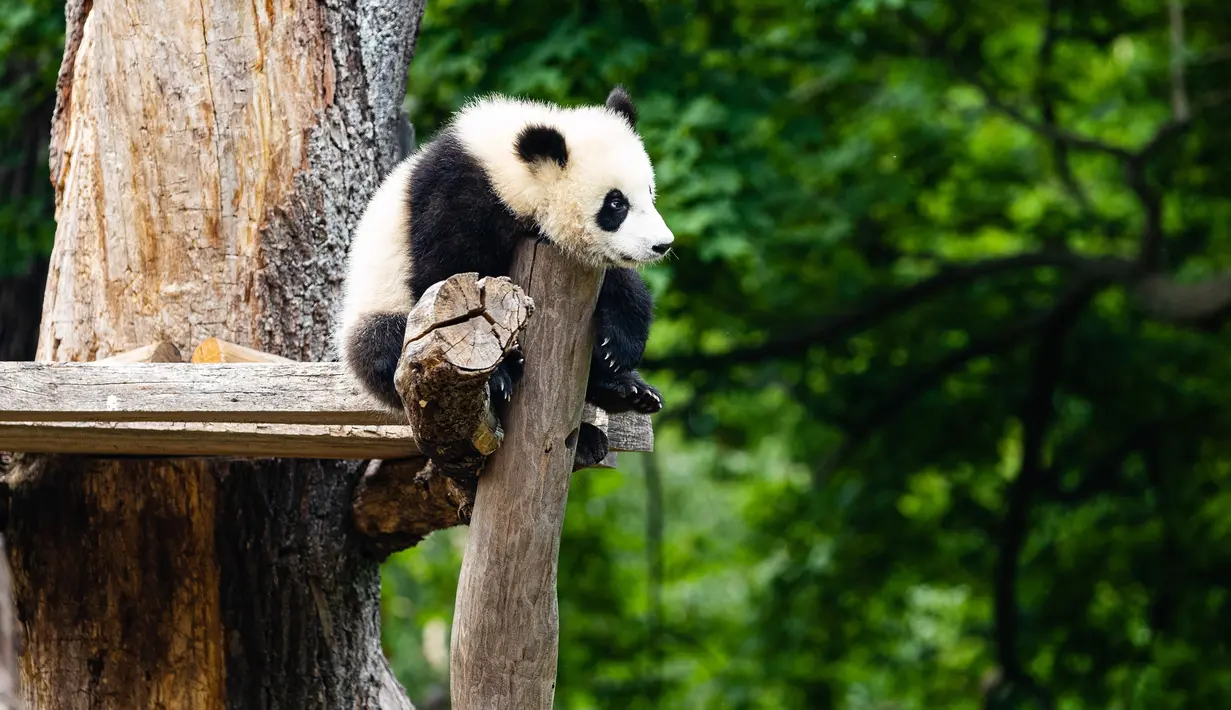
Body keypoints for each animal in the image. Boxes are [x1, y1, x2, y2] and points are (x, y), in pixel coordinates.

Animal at [335, 86, 673, 417]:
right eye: (616, 204)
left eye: (649, 192)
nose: (662, 244)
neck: (508, 172)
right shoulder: (453, 198)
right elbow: (444, 278)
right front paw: (498, 374)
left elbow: (619, 282)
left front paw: (618, 350)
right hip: (379, 304)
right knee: (384, 343)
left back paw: (631, 391)